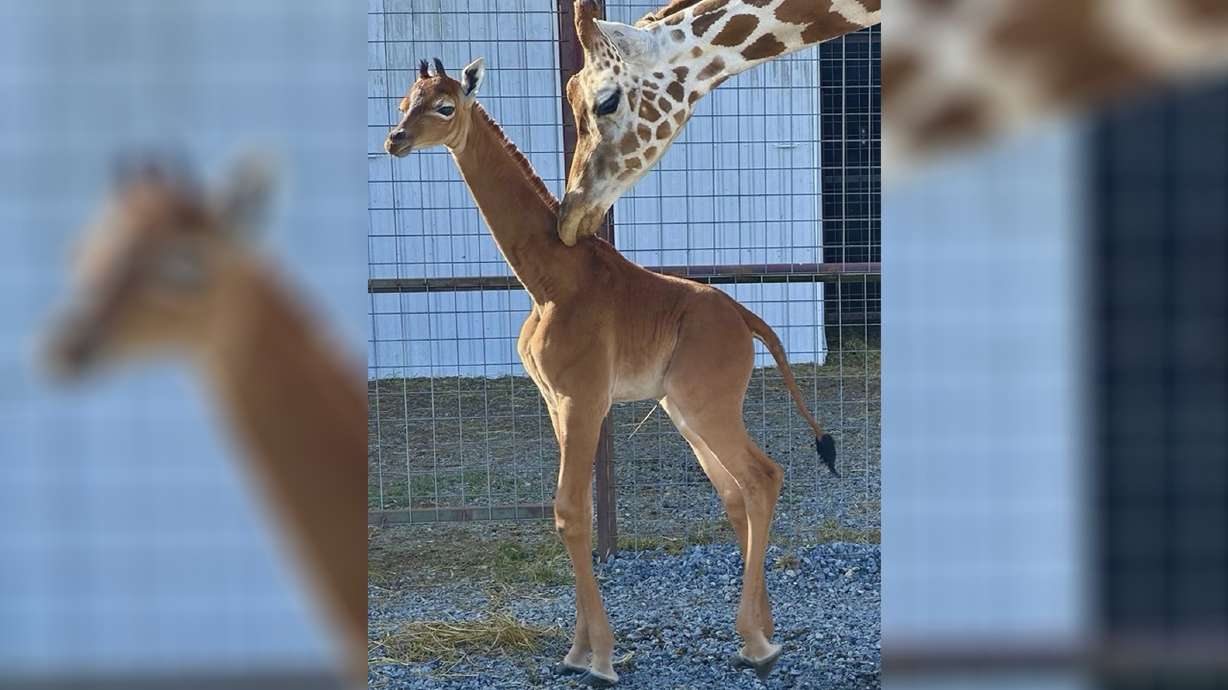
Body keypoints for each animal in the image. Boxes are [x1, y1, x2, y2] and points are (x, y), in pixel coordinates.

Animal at [385, 58, 838, 685]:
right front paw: (578, 650)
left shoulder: (584, 399)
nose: (395, 139)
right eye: (405, 100)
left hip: (707, 404)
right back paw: (763, 632)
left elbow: (571, 511)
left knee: (762, 477)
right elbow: (574, 513)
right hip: (684, 411)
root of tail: (747, 319)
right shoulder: (556, 402)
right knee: (735, 490)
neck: (549, 280)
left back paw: (756, 643)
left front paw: (598, 656)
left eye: (445, 106)